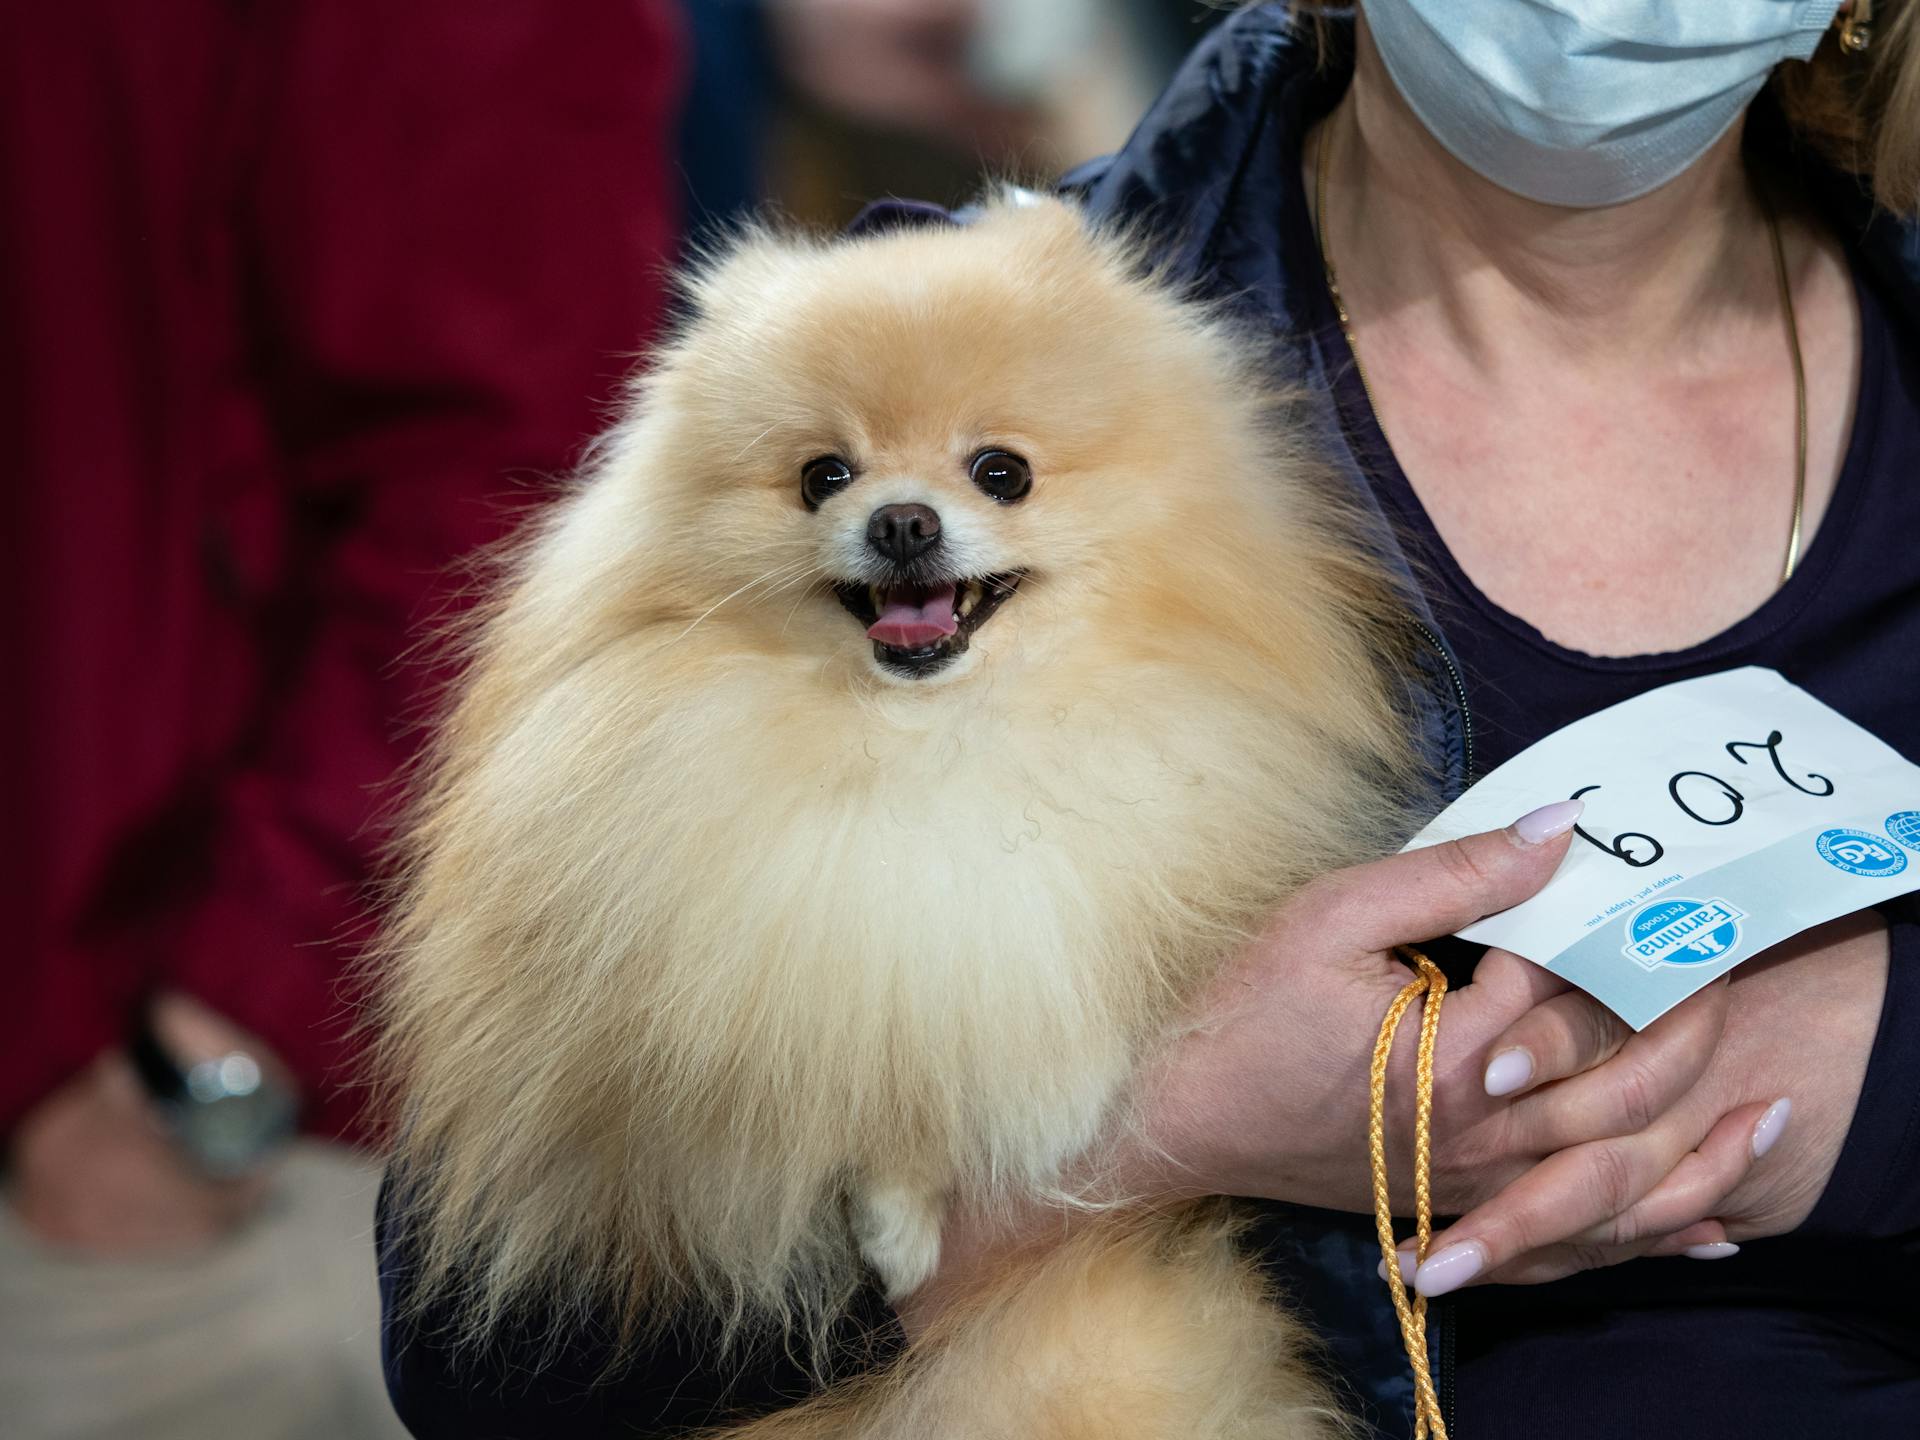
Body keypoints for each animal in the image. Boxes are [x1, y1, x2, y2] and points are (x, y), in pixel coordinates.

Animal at [382, 194, 1420, 1440]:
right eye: (823, 476)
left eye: (1002, 471)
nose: (904, 522)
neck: (935, 742)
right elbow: (870, 1062)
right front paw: (899, 1219)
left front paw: (1053, 1096)